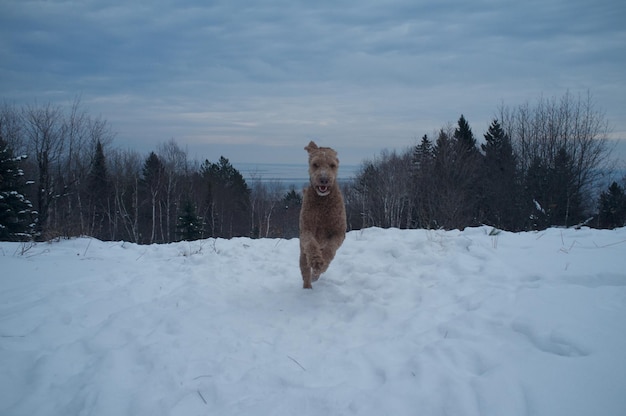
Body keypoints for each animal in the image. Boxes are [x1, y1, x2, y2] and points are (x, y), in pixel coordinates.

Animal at [298, 141, 346, 288]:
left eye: (332, 165)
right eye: (315, 164)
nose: (324, 179)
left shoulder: (338, 232)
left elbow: (331, 249)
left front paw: (322, 263)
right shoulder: (307, 229)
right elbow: (311, 244)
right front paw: (316, 261)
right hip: (302, 253)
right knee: (305, 269)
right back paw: (307, 287)